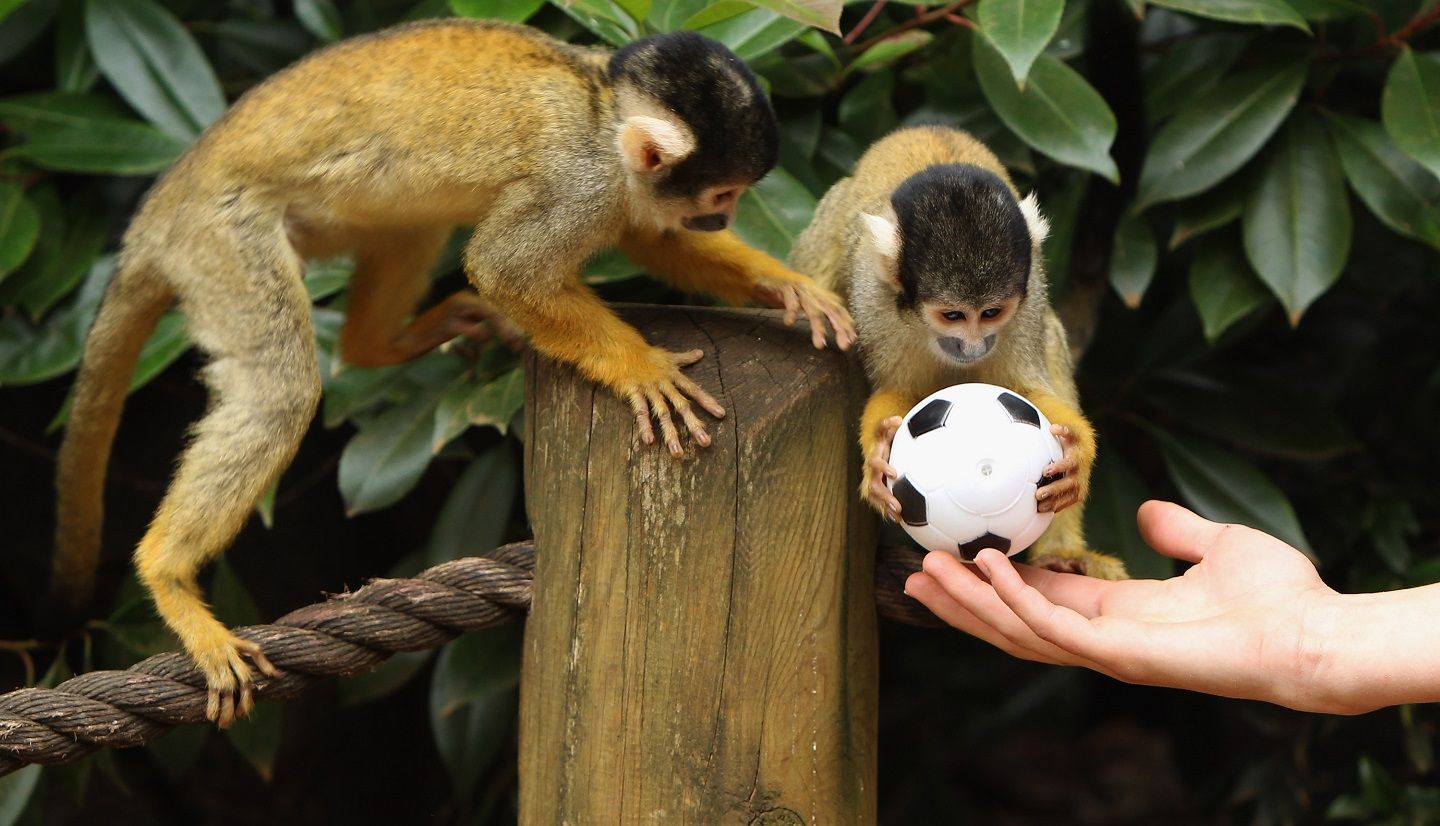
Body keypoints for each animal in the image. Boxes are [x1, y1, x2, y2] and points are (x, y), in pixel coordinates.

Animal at [51, 20, 855, 727]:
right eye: (722, 197)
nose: (721, 223)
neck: (604, 112)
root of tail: (165, 200)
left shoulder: (621, 192)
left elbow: (649, 236)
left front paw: (786, 286)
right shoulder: (583, 183)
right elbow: (510, 268)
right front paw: (641, 369)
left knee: (408, 226)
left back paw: (377, 346)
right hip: (219, 235)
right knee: (280, 390)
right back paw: (168, 575)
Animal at [789, 125, 1125, 580]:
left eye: (990, 313)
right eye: (952, 315)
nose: (974, 346)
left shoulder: (1028, 298)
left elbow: (1026, 390)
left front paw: (1078, 453)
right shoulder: (875, 300)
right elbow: (896, 389)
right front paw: (878, 448)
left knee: (1052, 336)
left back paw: (1063, 555)